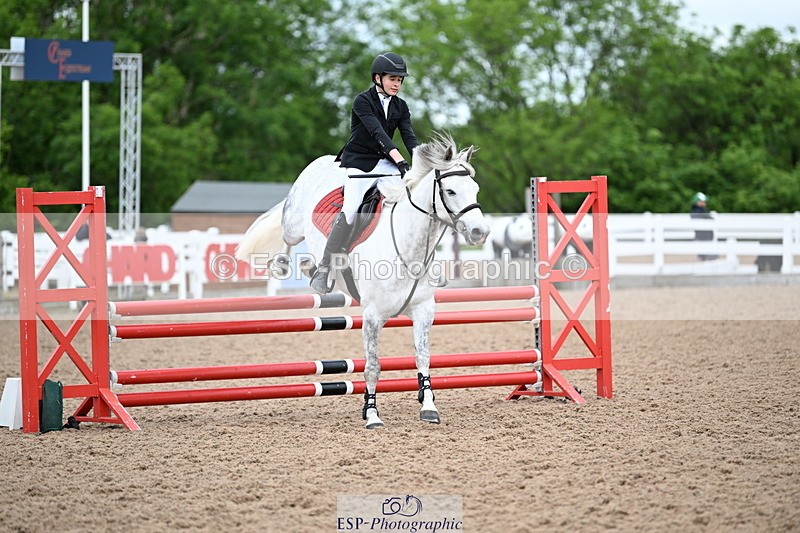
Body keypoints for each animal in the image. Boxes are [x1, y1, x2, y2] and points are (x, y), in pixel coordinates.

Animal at [235, 133, 490, 429]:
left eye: (475, 189)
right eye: (450, 192)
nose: (480, 232)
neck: (407, 246)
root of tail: (323, 160)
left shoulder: (424, 310)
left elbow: (423, 357)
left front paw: (428, 407)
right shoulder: (372, 316)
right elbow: (372, 366)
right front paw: (372, 415)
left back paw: (313, 269)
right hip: (294, 223)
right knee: (287, 234)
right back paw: (285, 265)